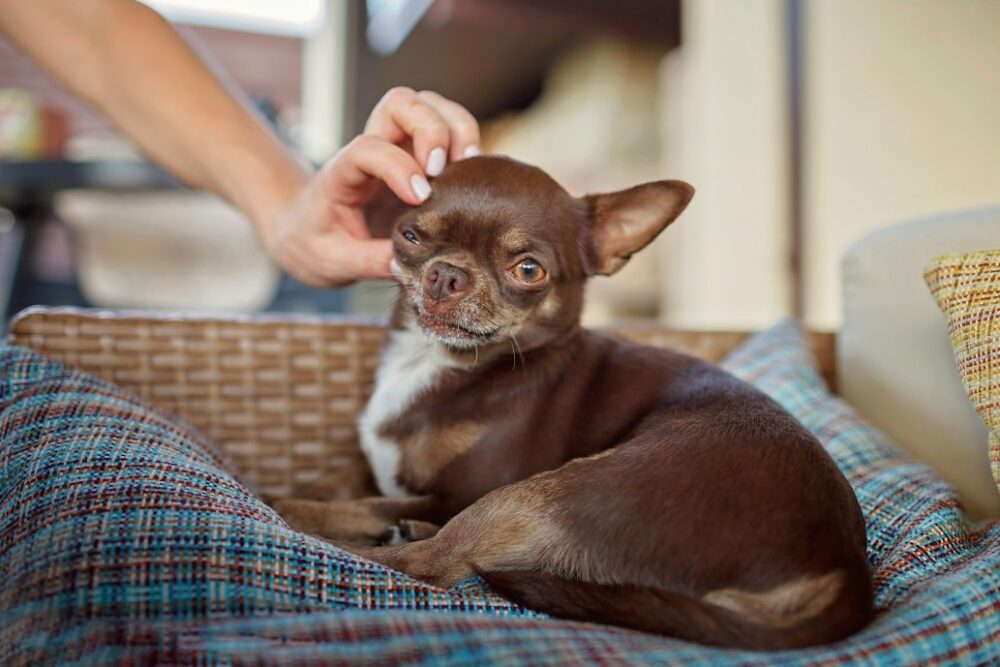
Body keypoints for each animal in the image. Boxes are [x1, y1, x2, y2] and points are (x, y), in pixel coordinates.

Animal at [276, 155, 876, 648]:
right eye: (410, 235)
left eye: (528, 270)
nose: (446, 274)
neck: (438, 363)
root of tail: (847, 572)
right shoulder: (380, 464)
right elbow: (342, 481)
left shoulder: (464, 491)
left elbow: (361, 505)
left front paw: (286, 505)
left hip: (540, 493)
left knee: (430, 562)